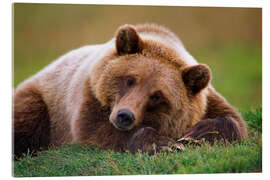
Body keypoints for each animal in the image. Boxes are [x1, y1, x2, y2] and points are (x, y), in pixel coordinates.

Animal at [13, 23, 248, 156]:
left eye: (157, 96)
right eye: (130, 80)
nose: (124, 116)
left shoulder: (206, 101)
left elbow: (233, 120)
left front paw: (198, 133)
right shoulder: (88, 95)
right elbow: (94, 131)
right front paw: (163, 144)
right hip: (43, 101)